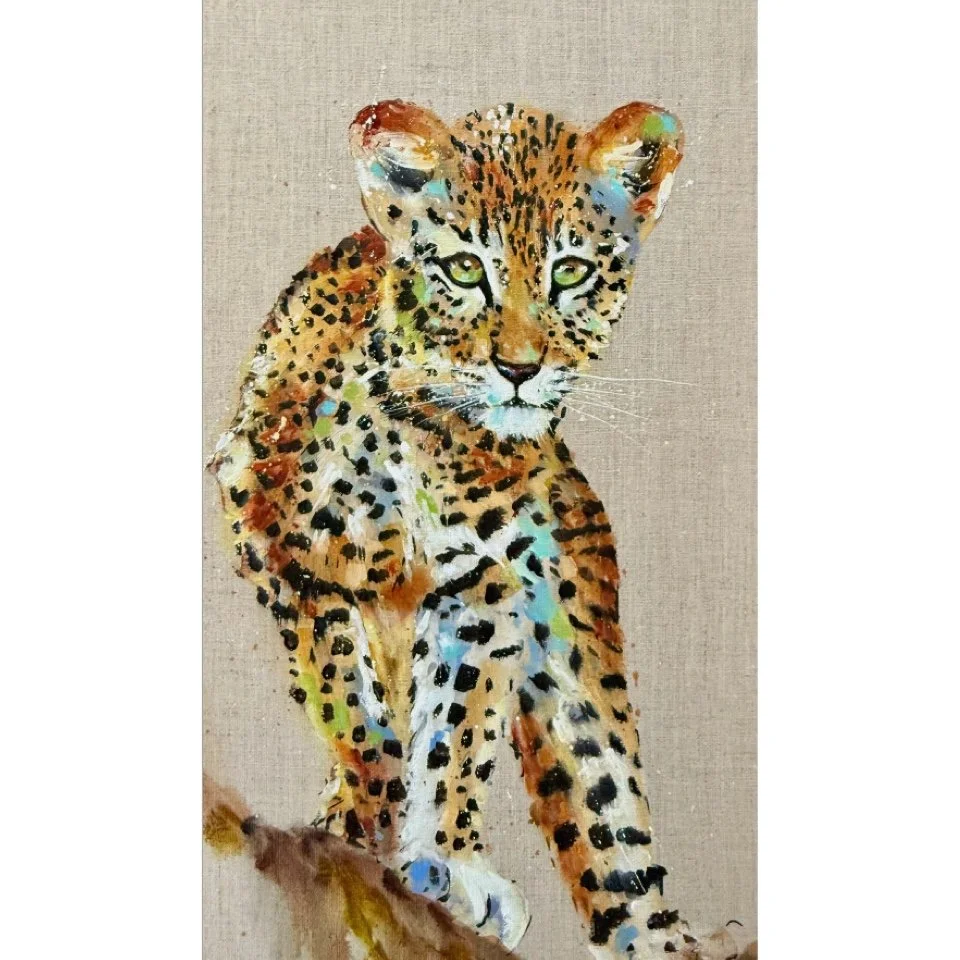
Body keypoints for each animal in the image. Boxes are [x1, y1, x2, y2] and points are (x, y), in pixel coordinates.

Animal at [210, 99, 695, 959]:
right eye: (466, 270)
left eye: (571, 272)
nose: (519, 369)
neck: (429, 434)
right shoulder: (283, 552)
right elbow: (350, 701)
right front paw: (366, 819)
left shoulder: (485, 583)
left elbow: (458, 730)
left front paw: (448, 859)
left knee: (621, 855)